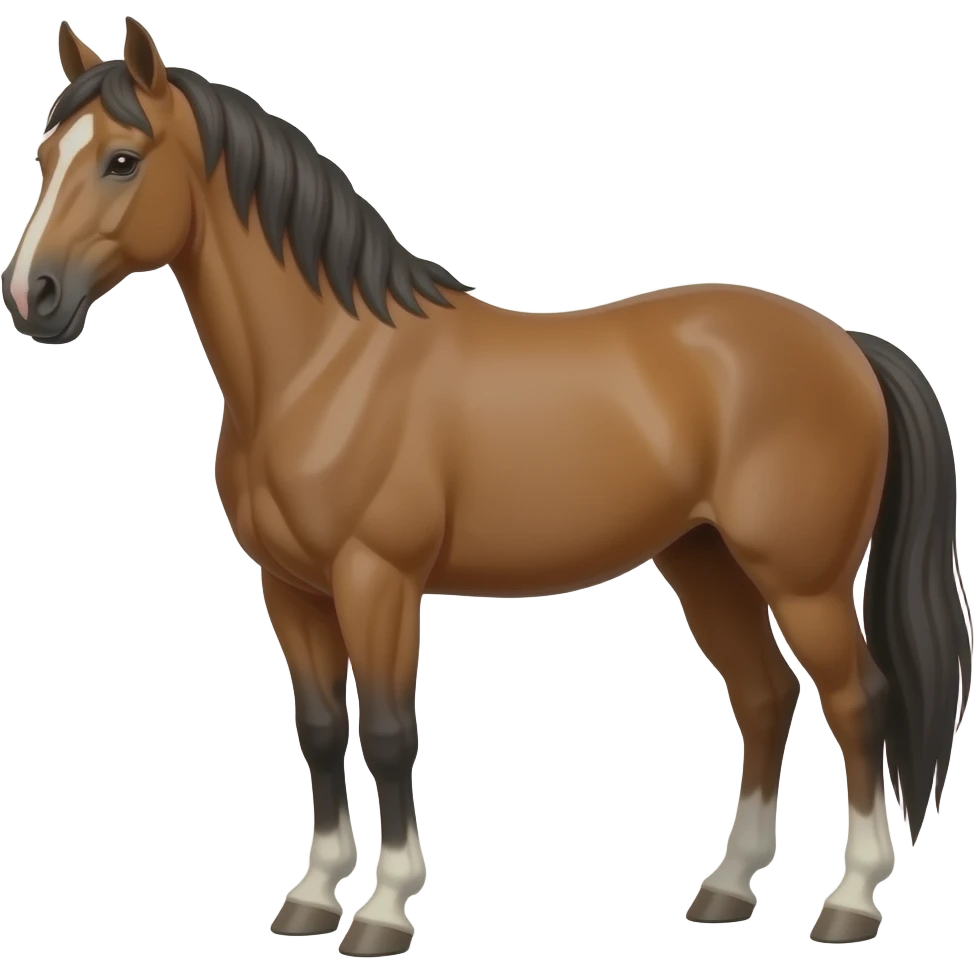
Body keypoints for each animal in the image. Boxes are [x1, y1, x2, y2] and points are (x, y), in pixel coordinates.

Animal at [3, 17, 970, 954]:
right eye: (46, 156)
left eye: (122, 159)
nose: (31, 295)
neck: (326, 364)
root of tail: (847, 345)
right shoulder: (291, 588)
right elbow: (319, 730)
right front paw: (311, 898)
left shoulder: (378, 580)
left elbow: (389, 733)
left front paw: (385, 911)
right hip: (706, 563)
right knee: (765, 697)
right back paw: (728, 889)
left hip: (802, 581)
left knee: (858, 701)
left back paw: (850, 902)